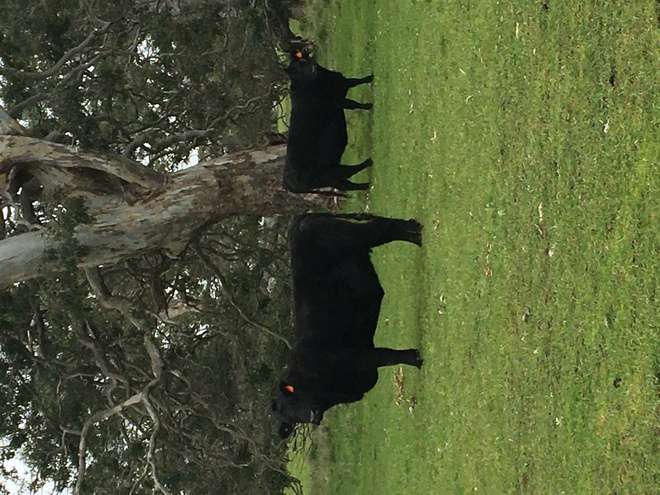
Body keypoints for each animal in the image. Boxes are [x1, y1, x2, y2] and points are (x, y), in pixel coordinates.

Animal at [272, 213, 423, 438]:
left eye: (294, 400)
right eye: (291, 418)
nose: (313, 416)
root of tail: (301, 220)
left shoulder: (358, 355)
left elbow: (389, 356)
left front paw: (417, 359)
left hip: (358, 236)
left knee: (384, 227)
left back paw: (419, 235)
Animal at [284, 50, 374, 193]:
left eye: (302, 60)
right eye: (295, 71)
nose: (312, 68)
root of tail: (288, 182)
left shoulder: (343, 82)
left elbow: (357, 81)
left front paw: (370, 77)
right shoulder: (337, 101)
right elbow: (354, 104)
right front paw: (370, 106)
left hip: (331, 178)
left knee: (347, 185)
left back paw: (367, 185)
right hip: (330, 173)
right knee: (350, 172)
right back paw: (369, 162)